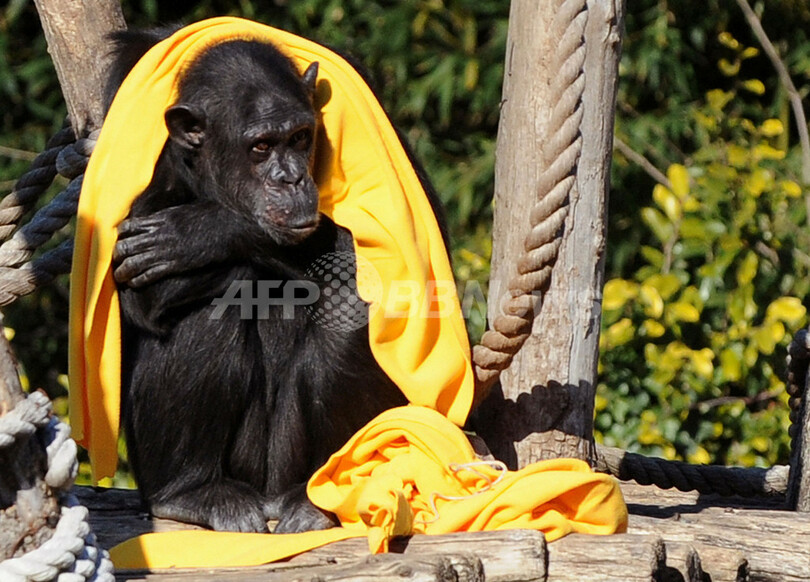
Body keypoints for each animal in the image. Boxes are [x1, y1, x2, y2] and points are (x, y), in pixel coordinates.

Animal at [103, 29, 448, 536]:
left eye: (301, 138)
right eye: (261, 147)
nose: (291, 178)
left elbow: (407, 262)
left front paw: (207, 230)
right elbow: (133, 292)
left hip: (286, 465)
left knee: (350, 304)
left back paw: (319, 497)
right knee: (204, 303)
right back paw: (192, 491)